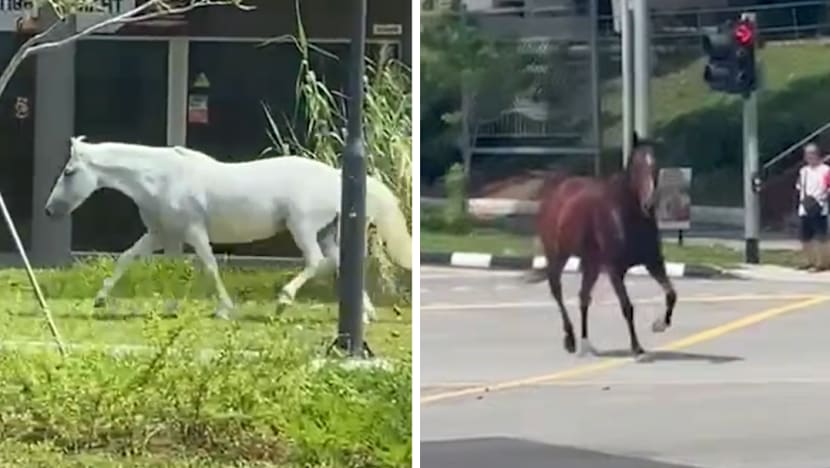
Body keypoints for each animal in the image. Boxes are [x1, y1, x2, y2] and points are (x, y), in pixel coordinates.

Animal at [44, 136, 412, 322]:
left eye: (69, 172)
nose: (49, 211)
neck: (161, 178)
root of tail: (338, 175)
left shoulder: (193, 231)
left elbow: (209, 265)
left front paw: (224, 309)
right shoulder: (160, 233)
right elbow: (126, 258)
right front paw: (100, 299)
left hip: (303, 227)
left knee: (316, 262)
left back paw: (284, 301)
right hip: (326, 231)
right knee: (337, 263)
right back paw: (364, 314)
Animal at [527, 134, 677, 357]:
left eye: (656, 166)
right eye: (637, 166)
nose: (648, 204)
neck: (626, 215)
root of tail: (555, 193)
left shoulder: (654, 262)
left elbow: (671, 294)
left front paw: (659, 324)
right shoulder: (615, 270)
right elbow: (627, 307)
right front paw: (636, 347)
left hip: (592, 264)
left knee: (583, 297)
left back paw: (585, 343)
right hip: (558, 256)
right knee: (557, 290)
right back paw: (570, 339)